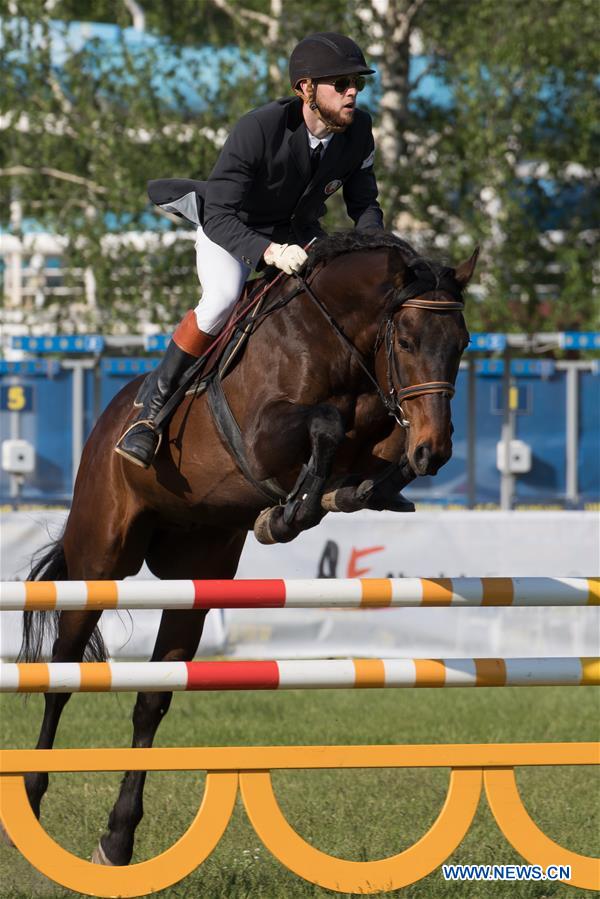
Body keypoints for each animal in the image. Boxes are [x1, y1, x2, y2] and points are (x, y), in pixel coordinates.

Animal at [17, 230, 478, 864]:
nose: (437, 450)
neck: (338, 339)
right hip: (100, 560)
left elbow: (378, 453)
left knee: (152, 698)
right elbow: (327, 424)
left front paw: (352, 493)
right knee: (62, 673)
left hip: (197, 579)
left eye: (461, 344)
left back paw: (117, 837)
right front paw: (287, 515)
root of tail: (104, 426)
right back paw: (33, 801)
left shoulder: (379, 428)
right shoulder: (263, 435)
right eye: (406, 340)